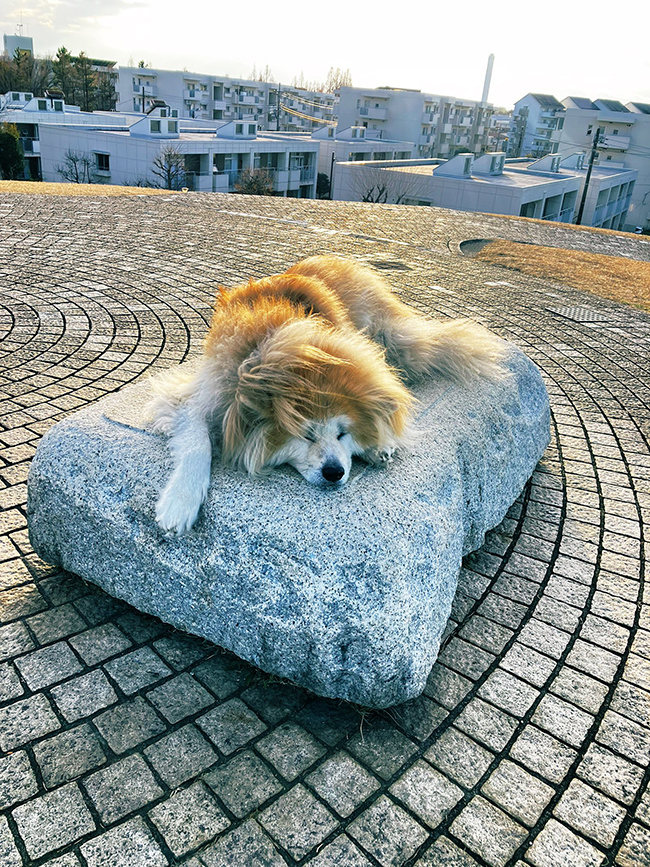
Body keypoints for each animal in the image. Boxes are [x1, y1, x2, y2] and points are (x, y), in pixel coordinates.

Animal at [149, 254, 504, 532]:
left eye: (343, 433)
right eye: (305, 435)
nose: (334, 472)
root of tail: (333, 256)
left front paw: (379, 442)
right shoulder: (196, 396)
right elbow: (197, 443)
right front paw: (180, 502)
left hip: (395, 340)